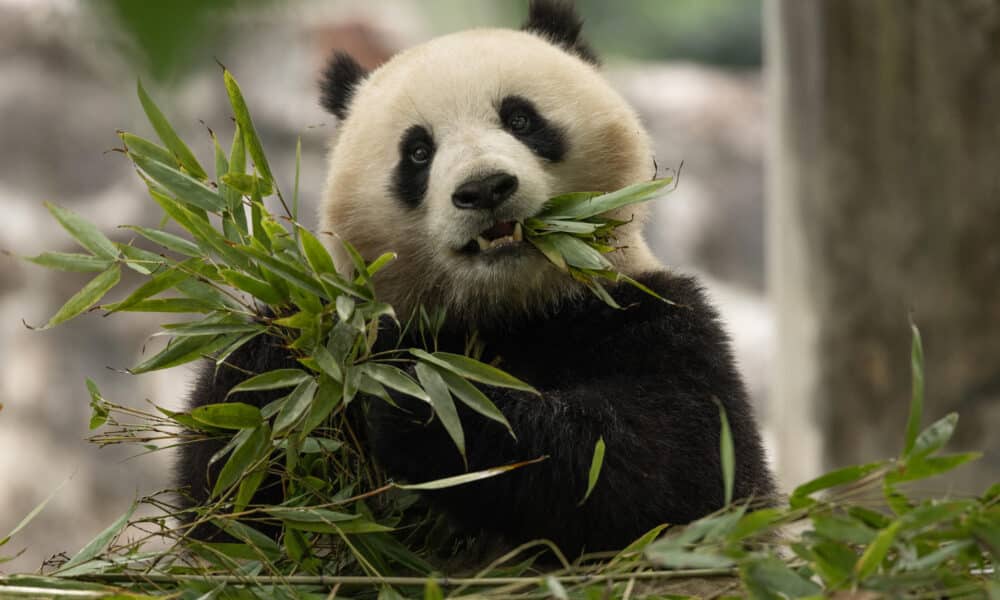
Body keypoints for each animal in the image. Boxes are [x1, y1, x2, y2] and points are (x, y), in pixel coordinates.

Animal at [178, 0, 772, 556]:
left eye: (521, 119)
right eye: (418, 151)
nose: (485, 188)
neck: (507, 307)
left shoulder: (651, 315)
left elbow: (676, 465)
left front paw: (424, 404)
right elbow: (230, 504)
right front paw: (287, 356)